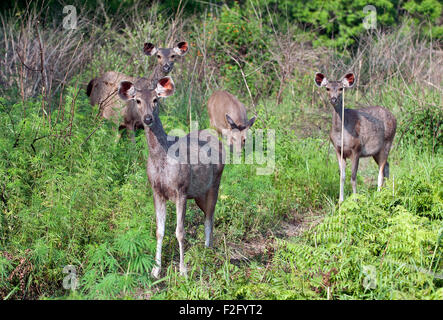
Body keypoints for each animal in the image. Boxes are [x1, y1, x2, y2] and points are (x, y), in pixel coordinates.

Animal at [117, 76, 225, 278]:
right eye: (137, 100)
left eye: (155, 100)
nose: (148, 118)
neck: (161, 158)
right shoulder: (157, 191)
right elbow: (159, 231)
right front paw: (155, 270)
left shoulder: (180, 190)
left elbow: (180, 231)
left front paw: (183, 270)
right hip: (198, 194)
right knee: (207, 215)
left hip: (215, 182)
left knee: (210, 216)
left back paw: (207, 252)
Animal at [316, 73, 398, 202]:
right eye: (327, 88)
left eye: (341, 88)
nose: (333, 99)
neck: (341, 133)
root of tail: (394, 118)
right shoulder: (338, 150)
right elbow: (342, 176)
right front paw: (340, 201)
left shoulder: (356, 149)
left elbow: (353, 176)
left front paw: (355, 199)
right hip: (376, 151)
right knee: (387, 166)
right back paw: (387, 191)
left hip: (388, 142)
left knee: (381, 171)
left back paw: (379, 194)